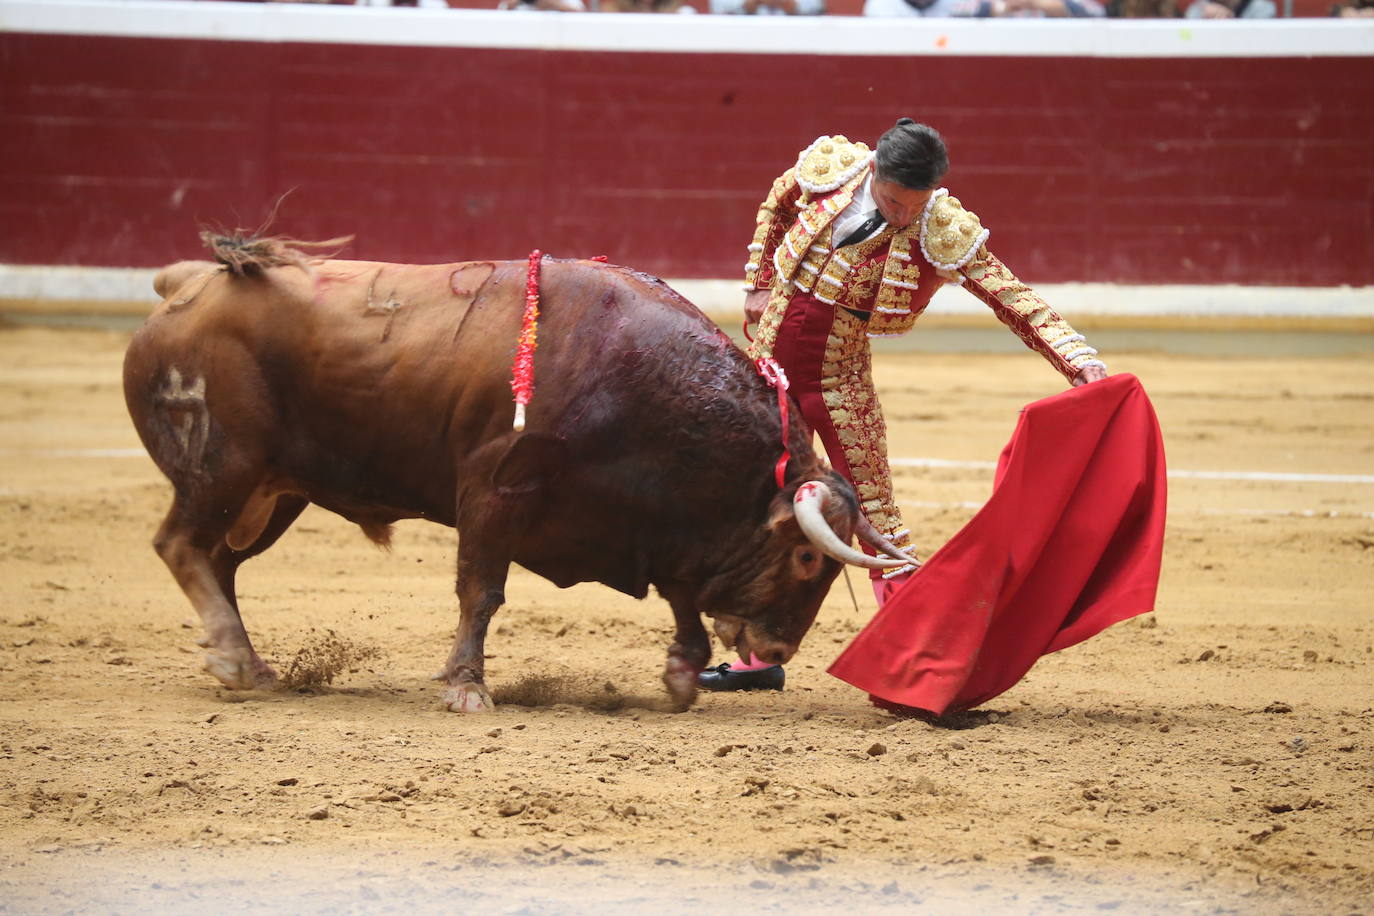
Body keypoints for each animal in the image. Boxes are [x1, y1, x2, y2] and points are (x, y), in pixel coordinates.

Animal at [120, 236, 912, 708]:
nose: (777, 650)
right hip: (224, 470)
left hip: (275, 493)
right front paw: (467, 688)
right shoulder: (495, 492)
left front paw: (683, 675)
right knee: (180, 546)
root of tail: (188, 287)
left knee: (220, 564)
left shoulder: (651, 528)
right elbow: (482, 592)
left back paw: (250, 665)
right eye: (807, 557)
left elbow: (682, 598)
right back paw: (233, 661)